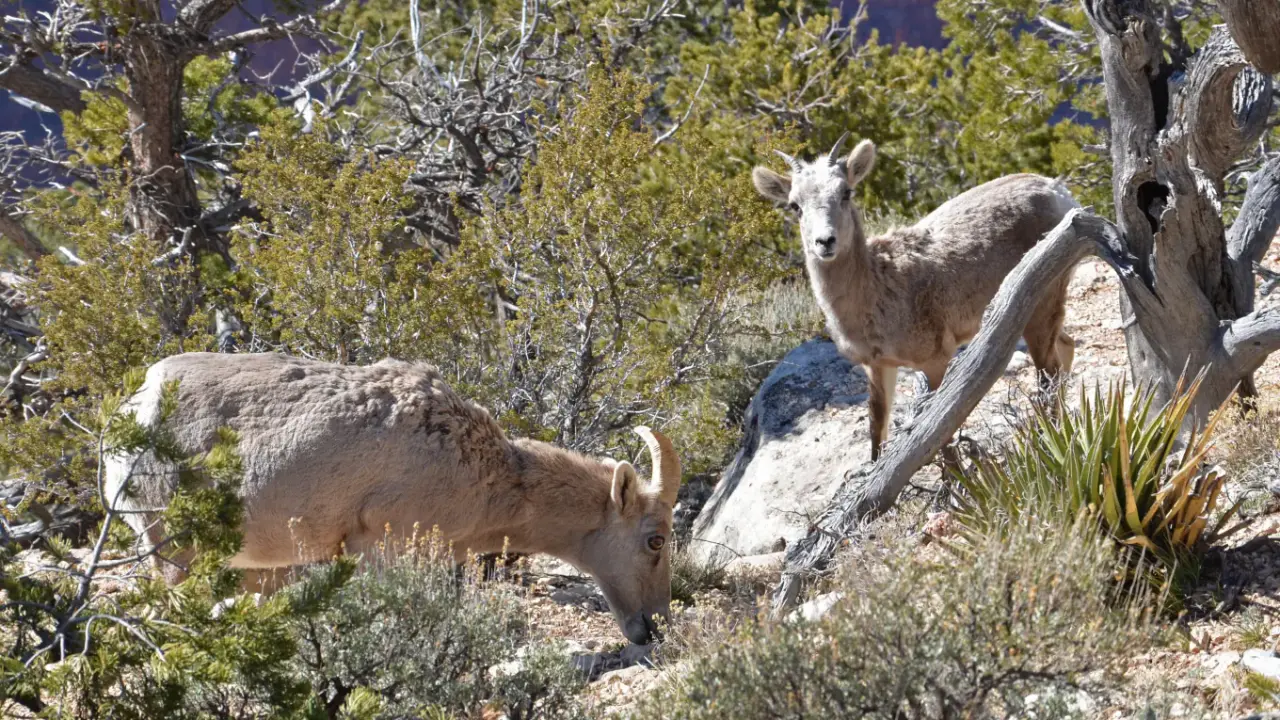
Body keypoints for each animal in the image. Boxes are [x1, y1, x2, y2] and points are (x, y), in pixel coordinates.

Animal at [103, 352, 681, 645]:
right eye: (655, 540)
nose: (653, 627)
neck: (484, 474)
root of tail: (131, 410)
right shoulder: (379, 549)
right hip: (172, 551)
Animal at [753, 135, 1078, 460]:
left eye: (846, 192)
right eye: (795, 205)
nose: (825, 241)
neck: (876, 296)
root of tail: (1060, 194)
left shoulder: (936, 358)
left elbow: (937, 438)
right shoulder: (877, 364)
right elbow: (877, 430)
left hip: (1042, 301)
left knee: (1049, 374)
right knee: (1066, 348)